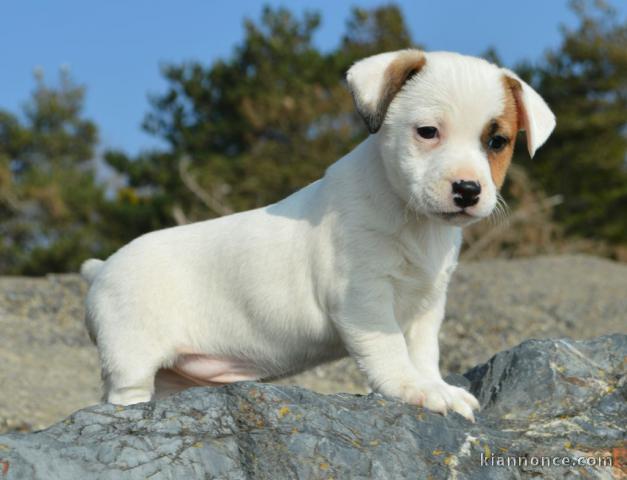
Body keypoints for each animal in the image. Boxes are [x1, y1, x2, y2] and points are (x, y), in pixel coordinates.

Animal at [82, 50, 556, 422]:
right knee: (125, 395)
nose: (468, 190)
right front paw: (414, 389)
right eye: (427, 132)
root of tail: (101, 268)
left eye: (497, 142)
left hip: (176, 378)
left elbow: (423, 353)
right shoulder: (364, 299)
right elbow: (390, 352)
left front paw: (432, 383)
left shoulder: (426, 304)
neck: (412, 219)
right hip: (132, 359)